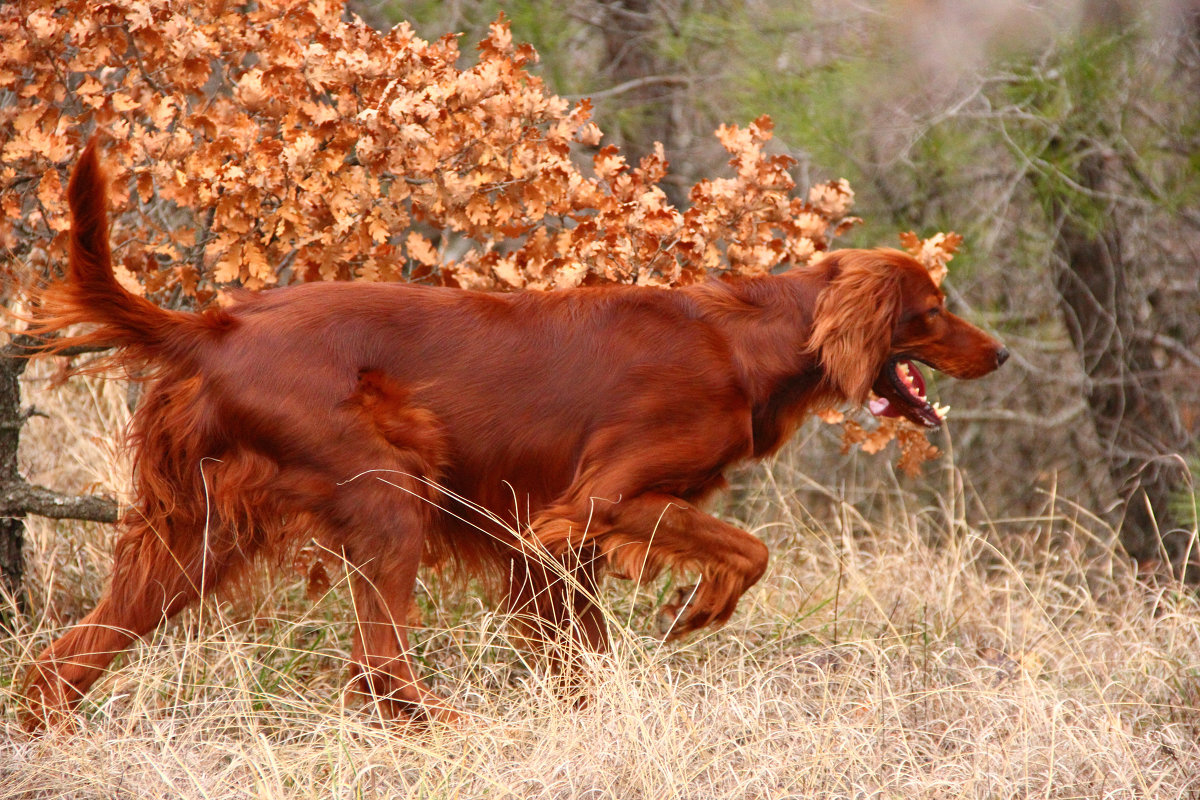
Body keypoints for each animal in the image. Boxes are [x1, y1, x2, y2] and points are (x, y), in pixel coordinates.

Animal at [23, 142, 1008, 724]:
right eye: (932, 310)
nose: (998, 353)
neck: (747, 341)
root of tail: (214, 327)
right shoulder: (597, 501)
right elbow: (748, 548)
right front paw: (699, 611)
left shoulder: (553, 547)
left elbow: (583, 651)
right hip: (391, 494)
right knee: (377, 664)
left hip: (196, 536)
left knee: (70, 652)